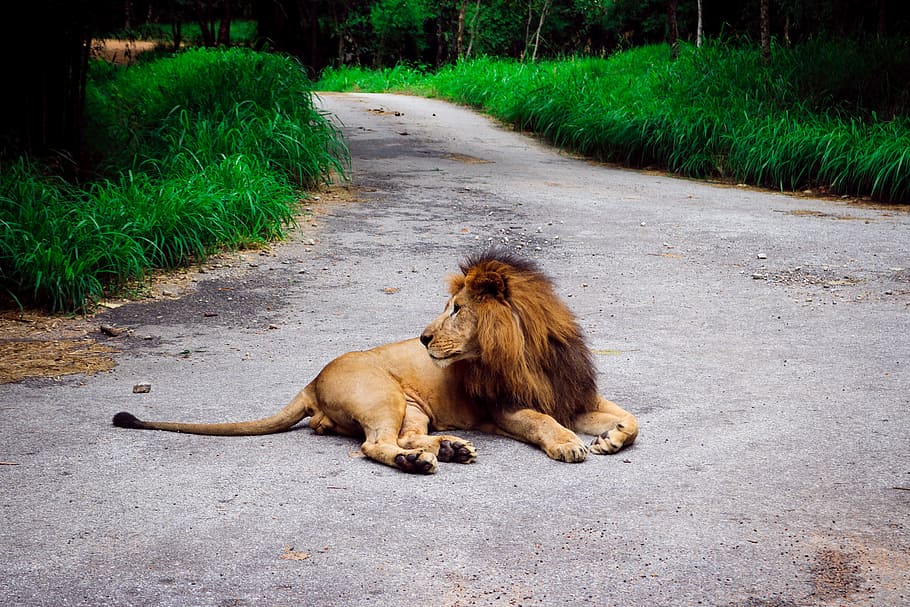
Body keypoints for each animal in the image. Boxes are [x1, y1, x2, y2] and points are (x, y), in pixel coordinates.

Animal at [112, 249, 638, 474]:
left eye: (456, 309)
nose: (423, 337)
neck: (529, 350)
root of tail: (311, 380)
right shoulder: (504, 409)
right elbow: (543, 422)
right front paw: (570, 443)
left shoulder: (575, 395)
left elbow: (632, 420)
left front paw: (610, 438)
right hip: (384, 394)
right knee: (375, 444)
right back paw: (417, 462)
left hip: (416, 407)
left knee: (403, 436)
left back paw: (449, 448)